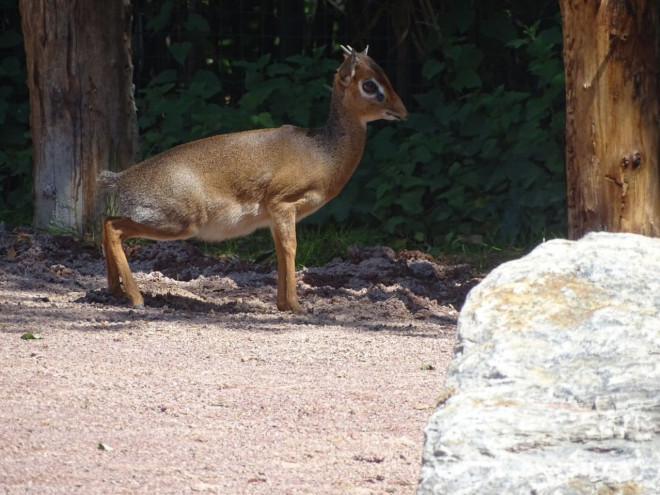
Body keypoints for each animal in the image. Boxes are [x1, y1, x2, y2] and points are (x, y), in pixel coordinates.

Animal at [98, 44, 408, 312]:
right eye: (370, 85)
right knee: (113, 227)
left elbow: (280, 252)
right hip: (179, 222)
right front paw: (297, 306)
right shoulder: (284, 204)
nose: (402, 112)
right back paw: (135, 297)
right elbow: (291, 249)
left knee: (106, 222)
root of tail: (120, 178)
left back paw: (116, 291)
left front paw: (283, 304)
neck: (324, 153)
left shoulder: (272, 218)